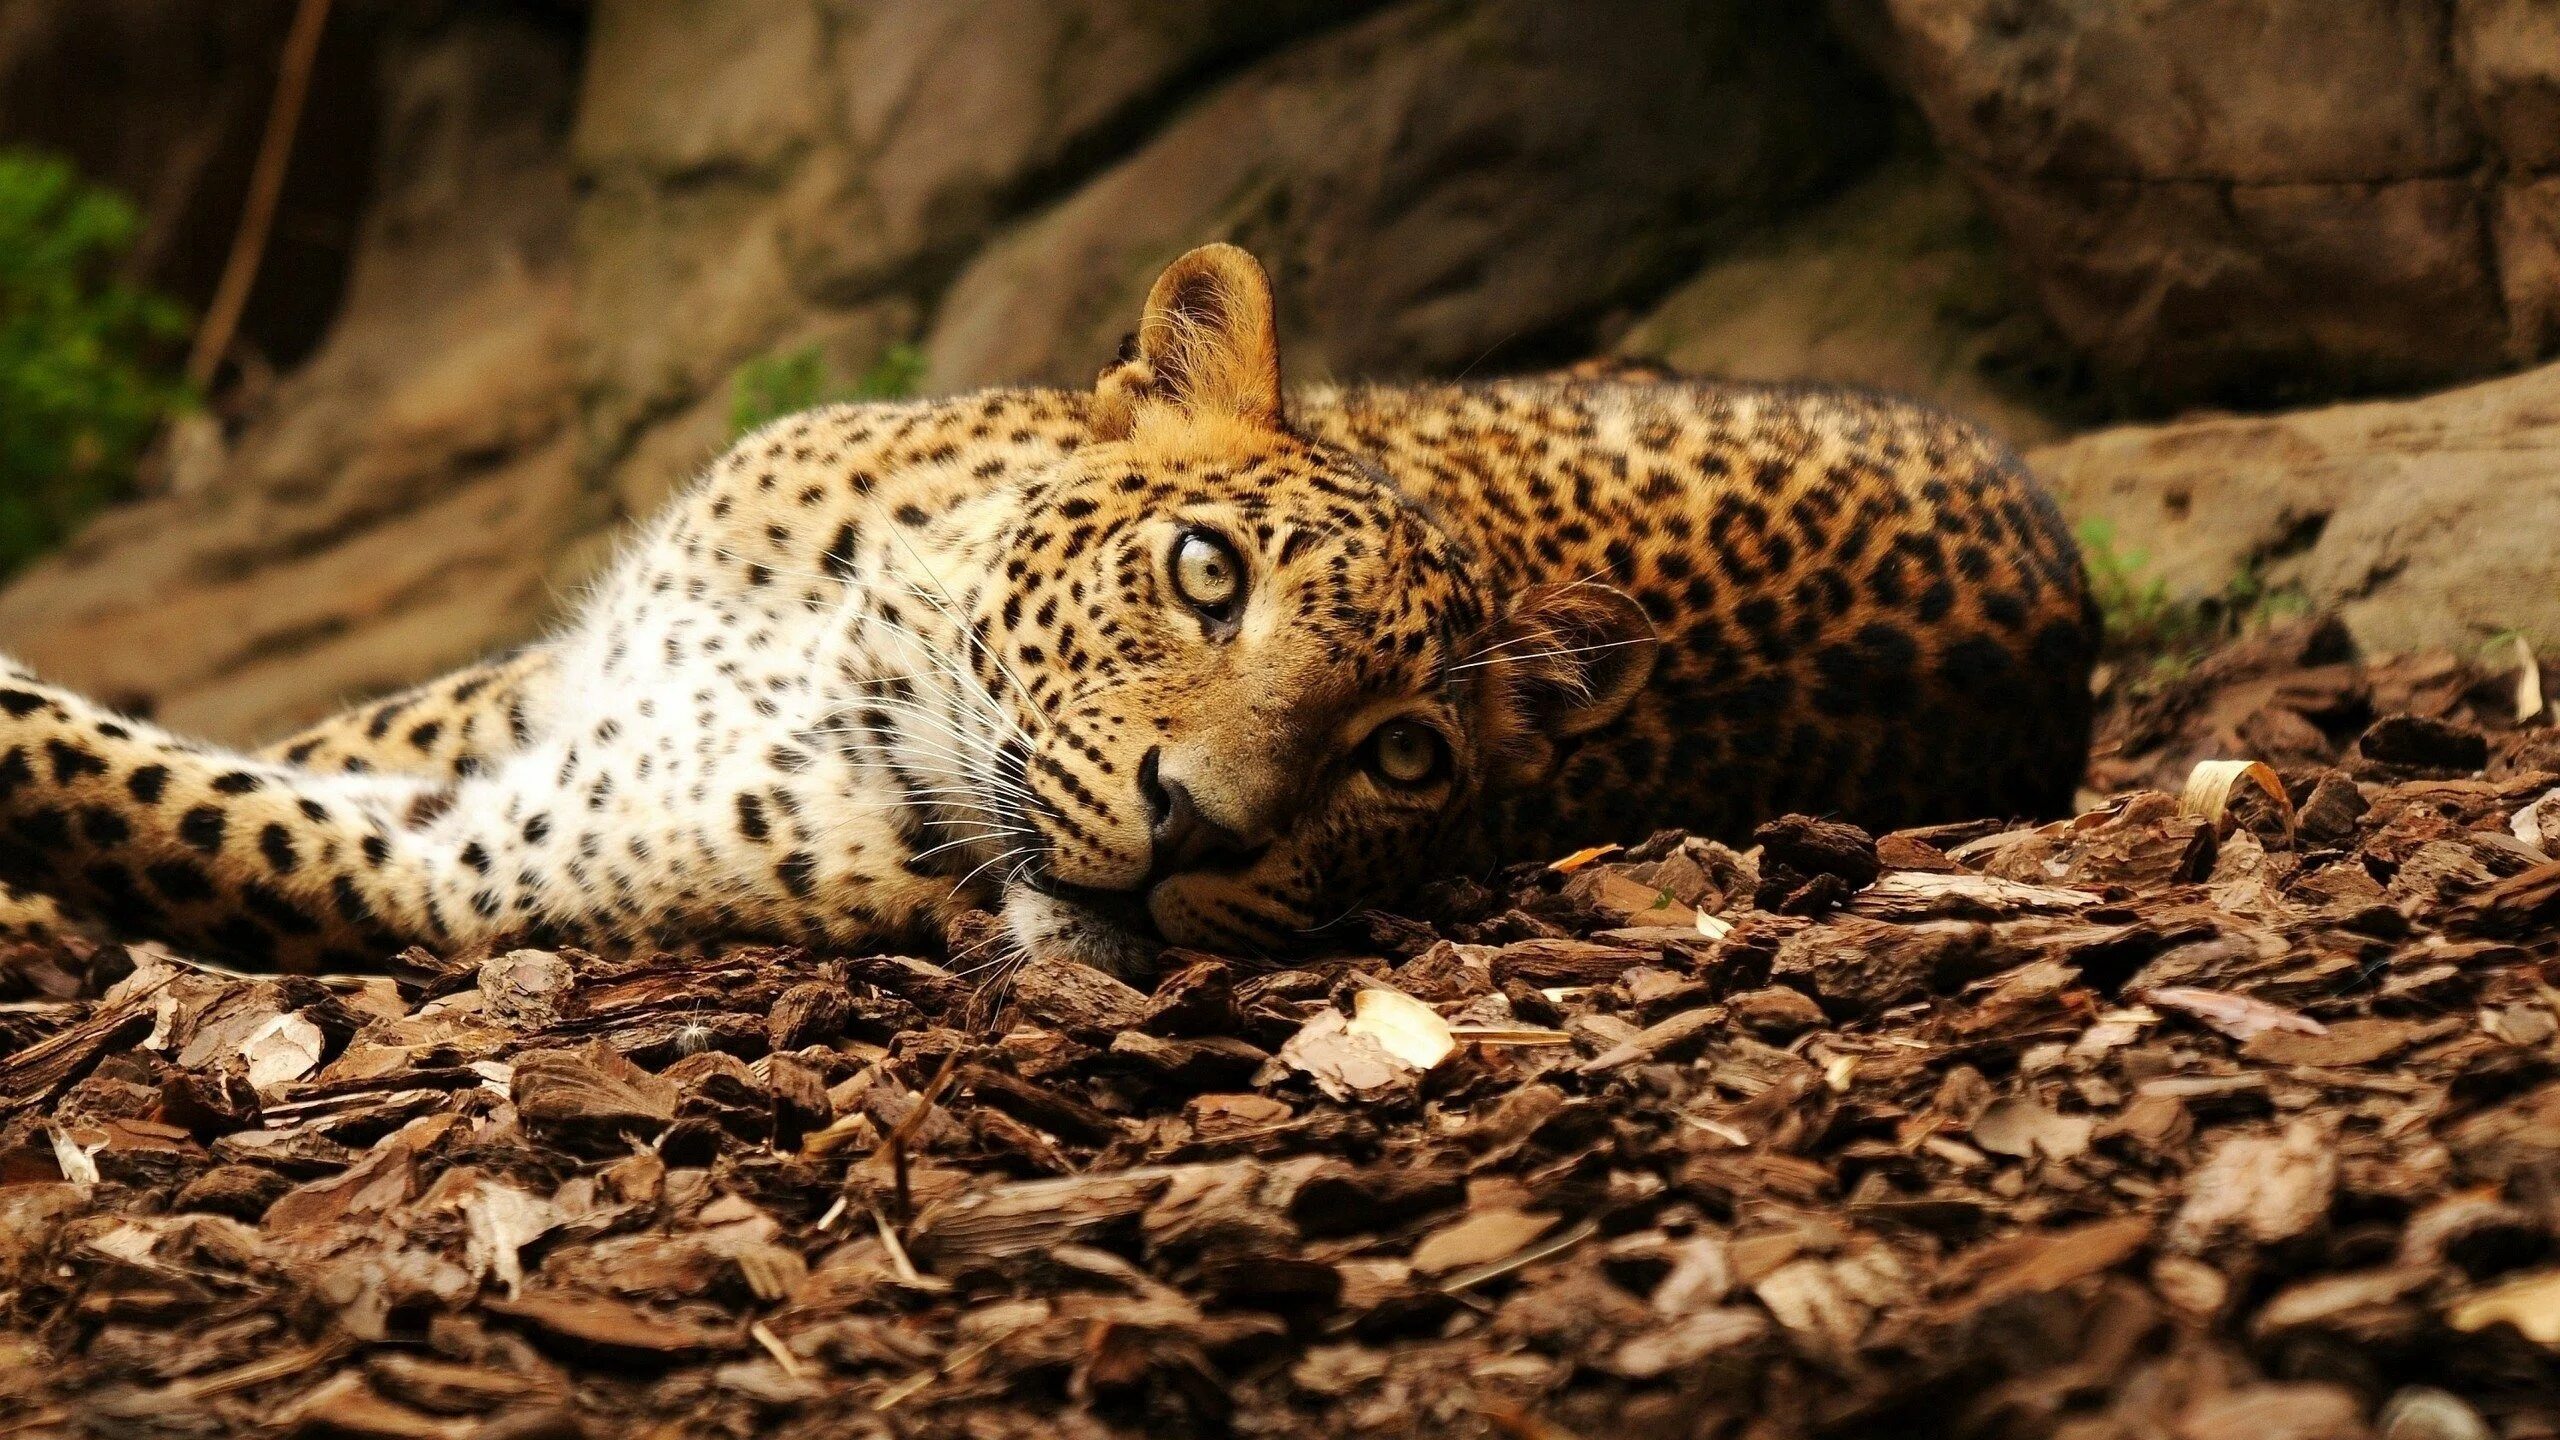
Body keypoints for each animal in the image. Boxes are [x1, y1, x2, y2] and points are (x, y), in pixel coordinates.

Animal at [0, 243, 2099, 973]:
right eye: (1207, 574)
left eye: (1403, 759)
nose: (1202, 834)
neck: (858, 643)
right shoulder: (548, 688)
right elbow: (295, 731)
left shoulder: (469, 869)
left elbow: (117, 783)